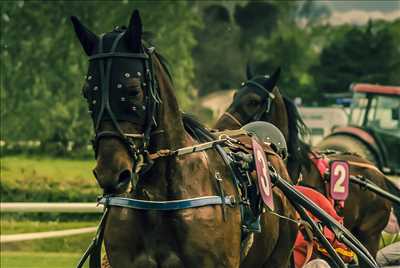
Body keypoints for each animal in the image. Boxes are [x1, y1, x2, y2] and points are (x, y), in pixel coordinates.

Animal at [214, 67, 398, 266]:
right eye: (234, 95)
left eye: (253, 100)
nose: (218, 129)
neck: (296, 169)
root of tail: (378, 173)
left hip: (370, 234)